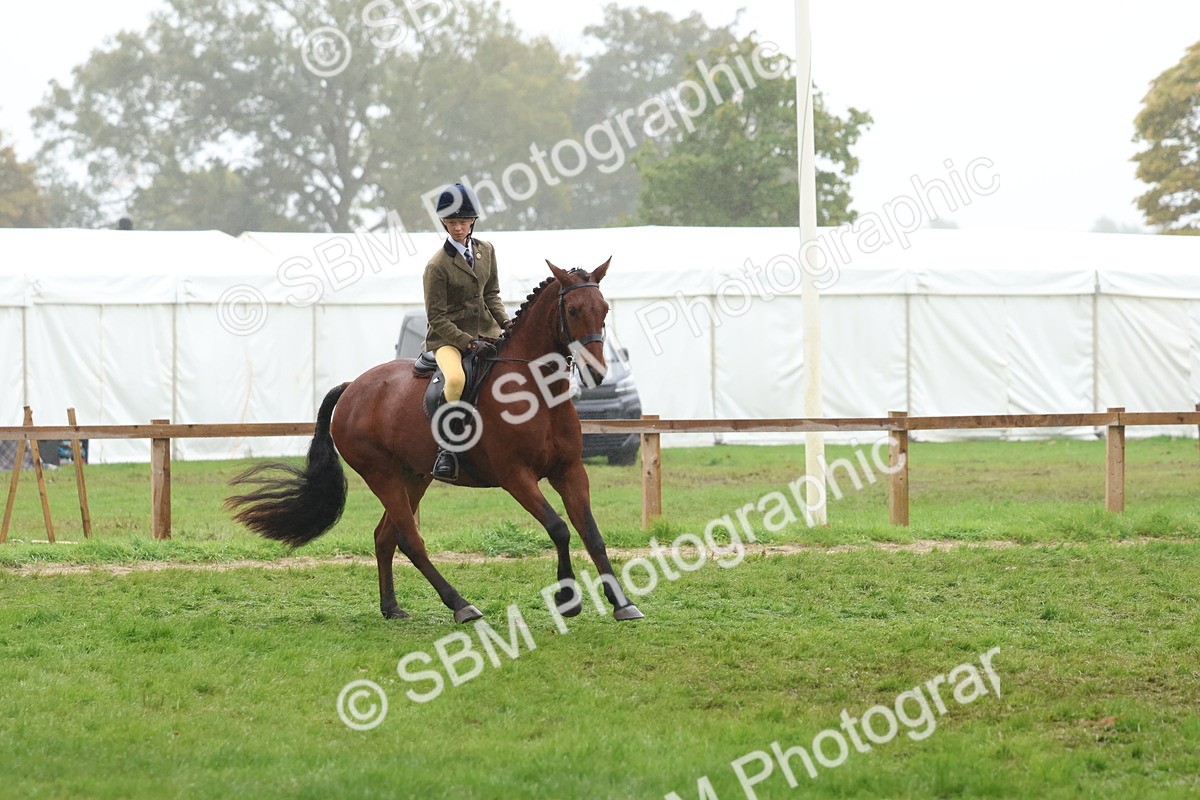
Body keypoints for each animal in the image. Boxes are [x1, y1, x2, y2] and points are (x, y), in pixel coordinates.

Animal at [225, 259, 644, 624]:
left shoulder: (569, 470)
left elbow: (591, 533)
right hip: (381, 474)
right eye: (572, 310)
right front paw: (567, 599)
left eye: (604, 309)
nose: (597, 373)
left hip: (414, 476)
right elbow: (558, 528)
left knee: (386, 536)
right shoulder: (515, 476)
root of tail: (352, 386)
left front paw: (623, 603)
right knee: (410, 540)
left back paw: (392, 608)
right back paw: (461, 605)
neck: (537, 392)